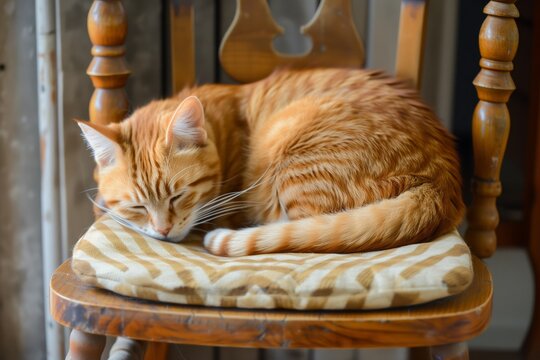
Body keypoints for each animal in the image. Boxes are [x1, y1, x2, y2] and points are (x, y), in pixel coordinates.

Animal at [79, 68, 464, 256]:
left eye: (179, 196)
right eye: (137, 207)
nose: (163, 231)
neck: (222, 129)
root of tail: (439, 184)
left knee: (302, 232)